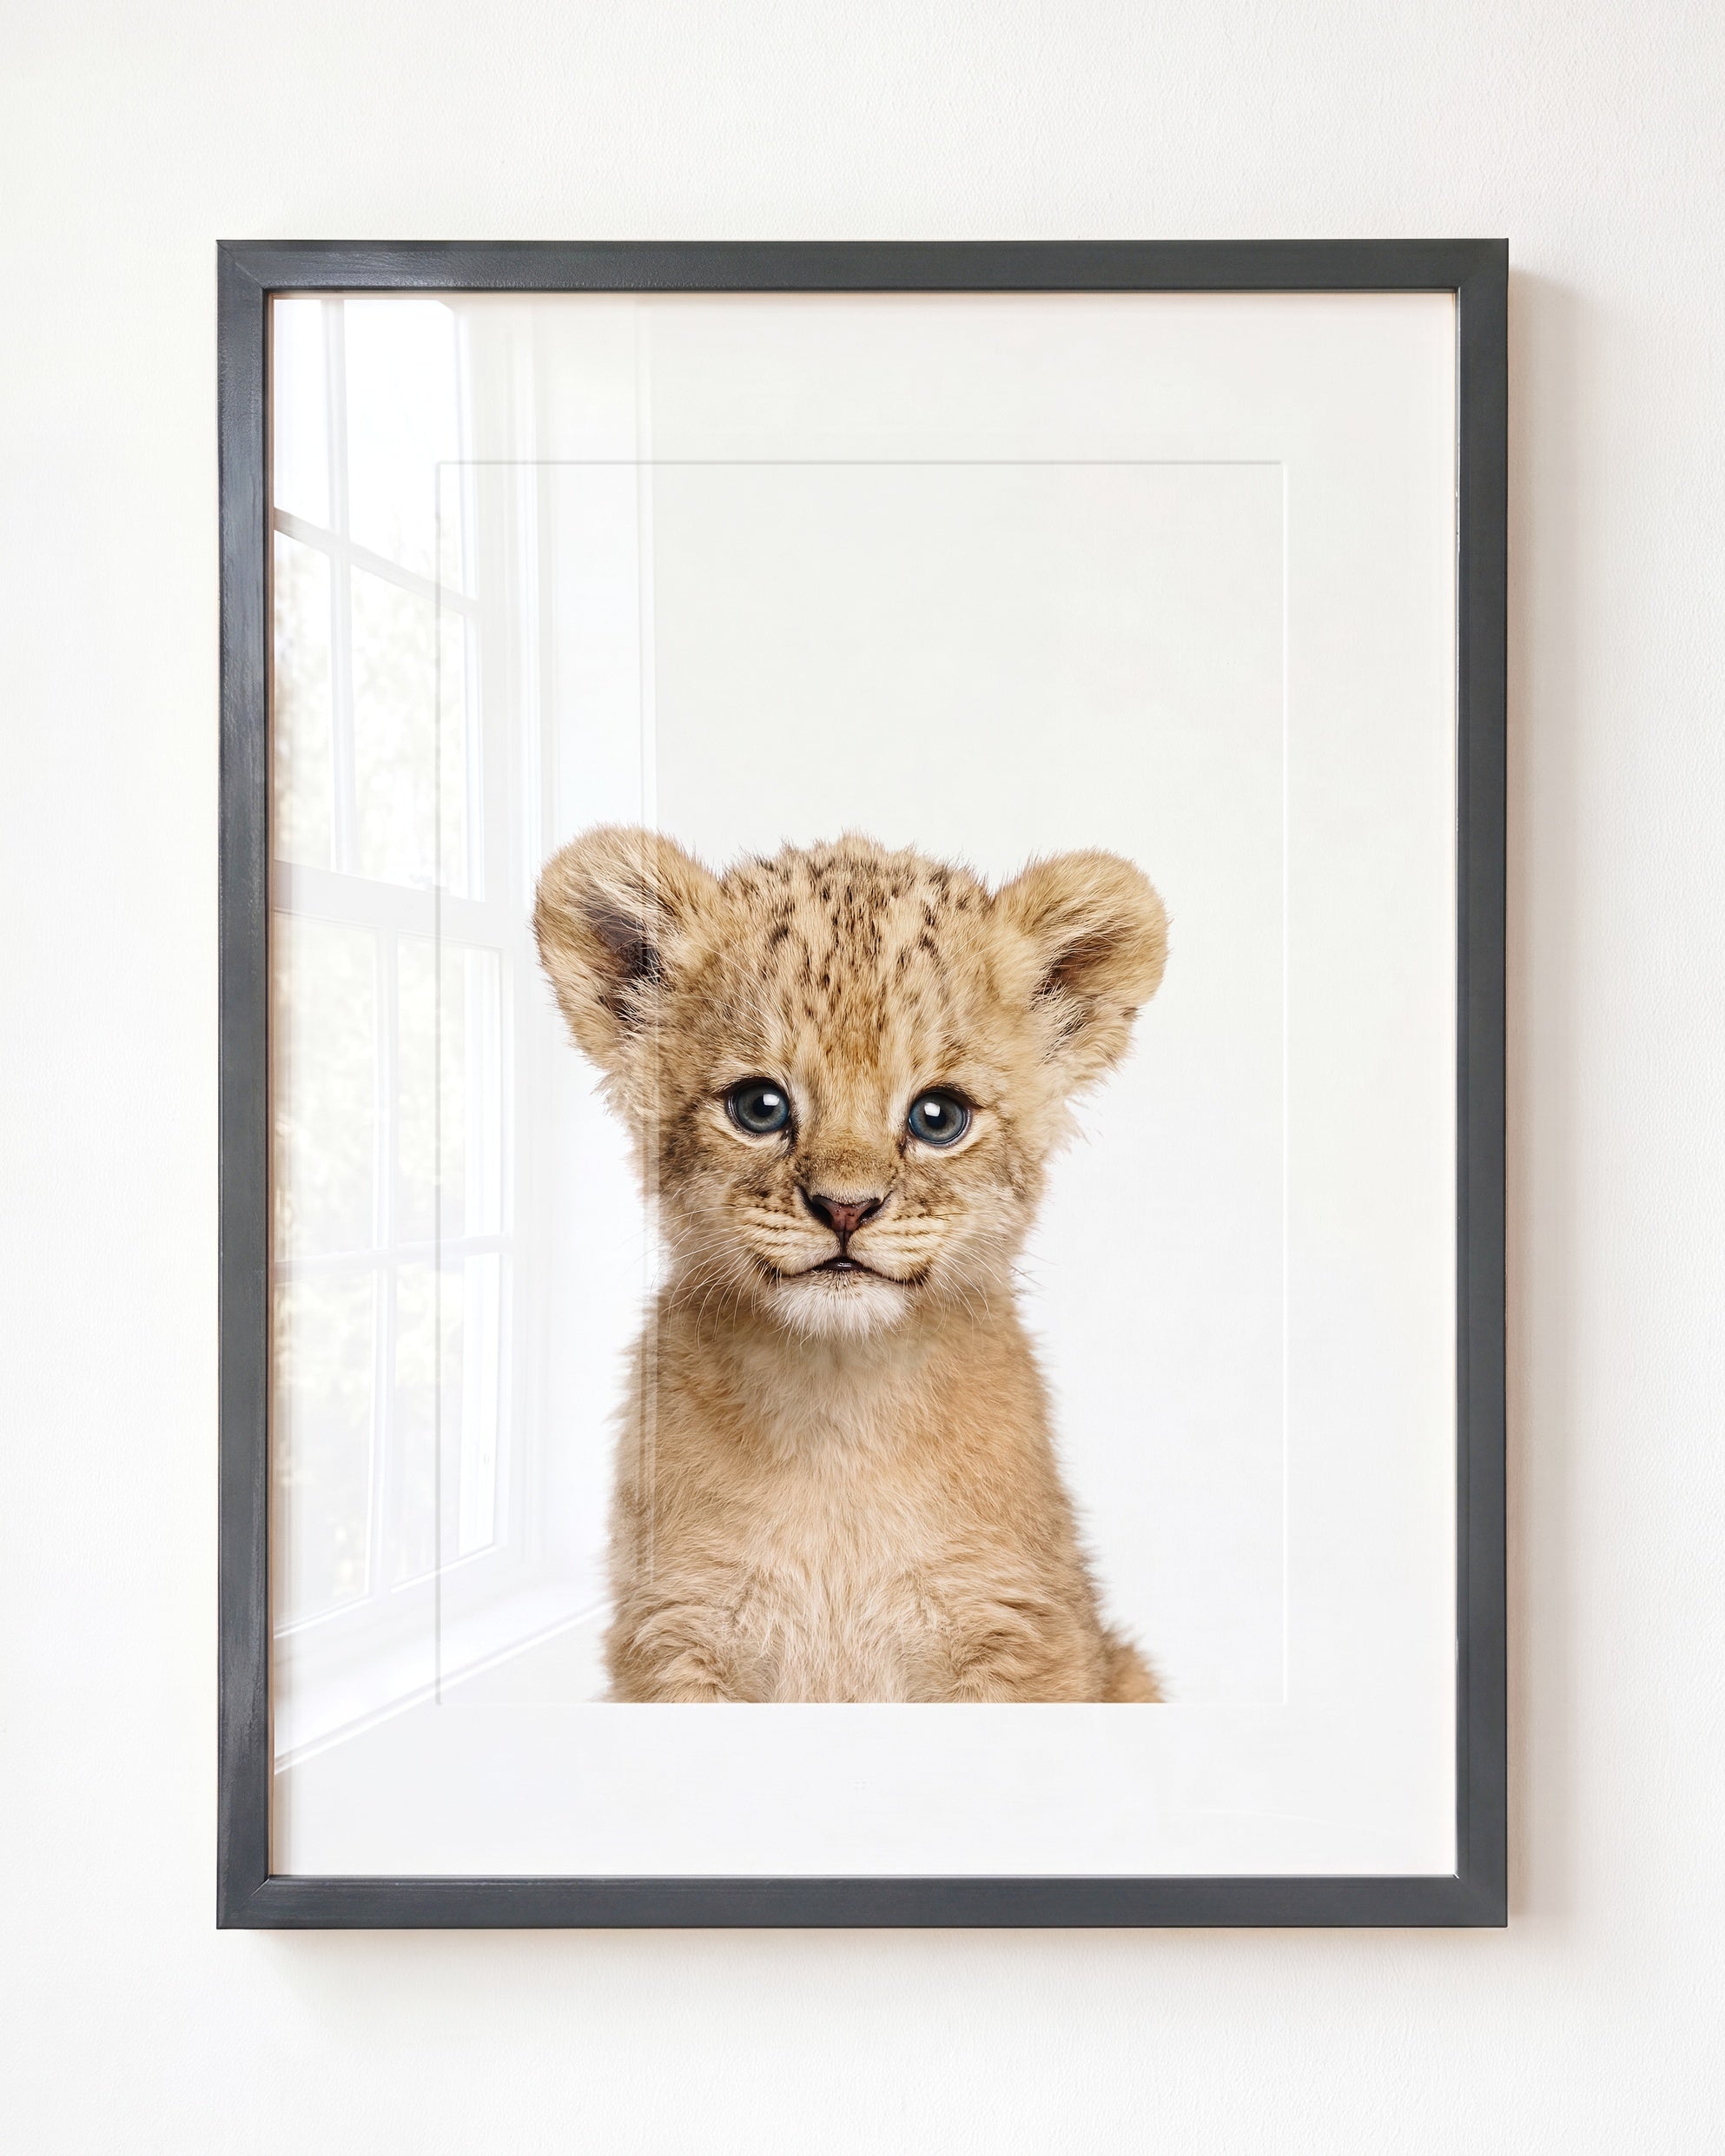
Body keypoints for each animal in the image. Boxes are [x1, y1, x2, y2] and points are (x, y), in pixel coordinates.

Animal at [534, 827, 1168, 1702]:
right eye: (760, 1107)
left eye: (938, 1117)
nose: (845, 1208)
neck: (838, 1412)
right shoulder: (676, 1633)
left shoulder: (1019, 1631)